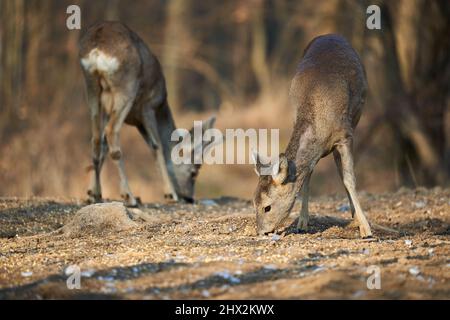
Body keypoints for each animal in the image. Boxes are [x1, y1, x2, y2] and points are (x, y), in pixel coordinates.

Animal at [79, 21, 216, 205]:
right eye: (194, 172)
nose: (189, 198)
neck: (162, 107)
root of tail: (97, 46)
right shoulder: (148, 106)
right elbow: (156, 145)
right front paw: (170, 194)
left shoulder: (117, 111)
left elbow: (102, 144)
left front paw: (91, 192)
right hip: (125, 87)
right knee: (111, 132)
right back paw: (129, 196)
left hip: (92, 88)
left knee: (95, 138)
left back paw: (98, 195)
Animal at [253, 35, 372, 239]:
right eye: (253, 202)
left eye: (267, 207)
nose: (262, 232)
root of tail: (331, 34)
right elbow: (307, 177)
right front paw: (302, 223)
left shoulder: (345, 135)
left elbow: (350, 179)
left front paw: (366, 229)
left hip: (356, 118)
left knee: (343, 172)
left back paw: (356, 218)